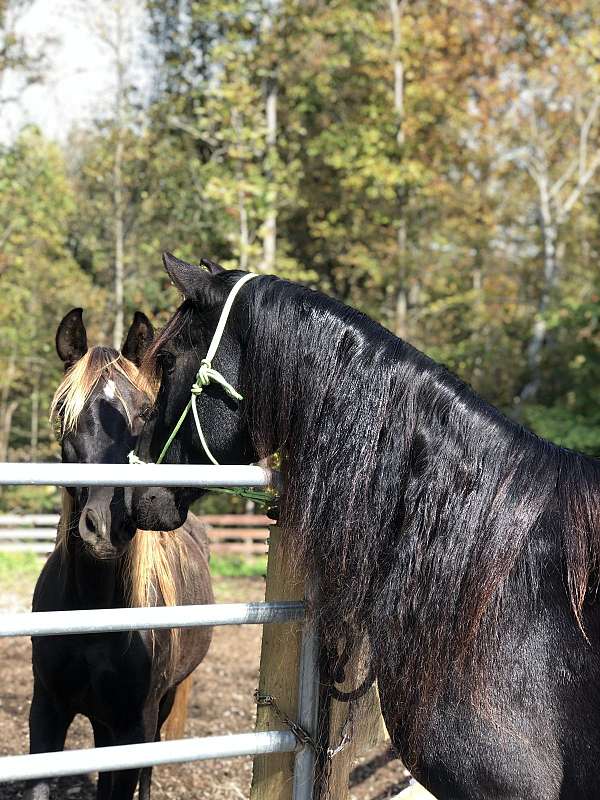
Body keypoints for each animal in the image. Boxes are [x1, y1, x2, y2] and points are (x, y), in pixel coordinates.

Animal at [26, 307, 213, 800]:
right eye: (63, 413)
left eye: (144, 412)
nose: (107, 526)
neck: (94, 612)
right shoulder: (46, 711)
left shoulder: (136, 723)